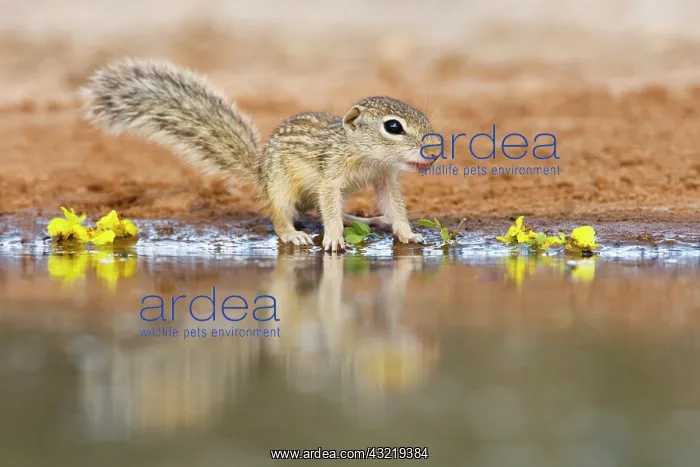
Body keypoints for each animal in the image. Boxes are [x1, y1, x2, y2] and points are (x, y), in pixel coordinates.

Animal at [80, 59, 438, 252]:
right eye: (393, 127)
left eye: (422, 116)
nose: (432, 153)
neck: (365, 156)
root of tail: (259, 171)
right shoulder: (331, 177)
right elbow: (329, 204)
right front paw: (335, 239)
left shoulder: (384, 178)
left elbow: (394, 208)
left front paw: (408, 233)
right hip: (280, 187)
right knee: (283, 216)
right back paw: (294, 234)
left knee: (317, 210)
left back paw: (366, 219)